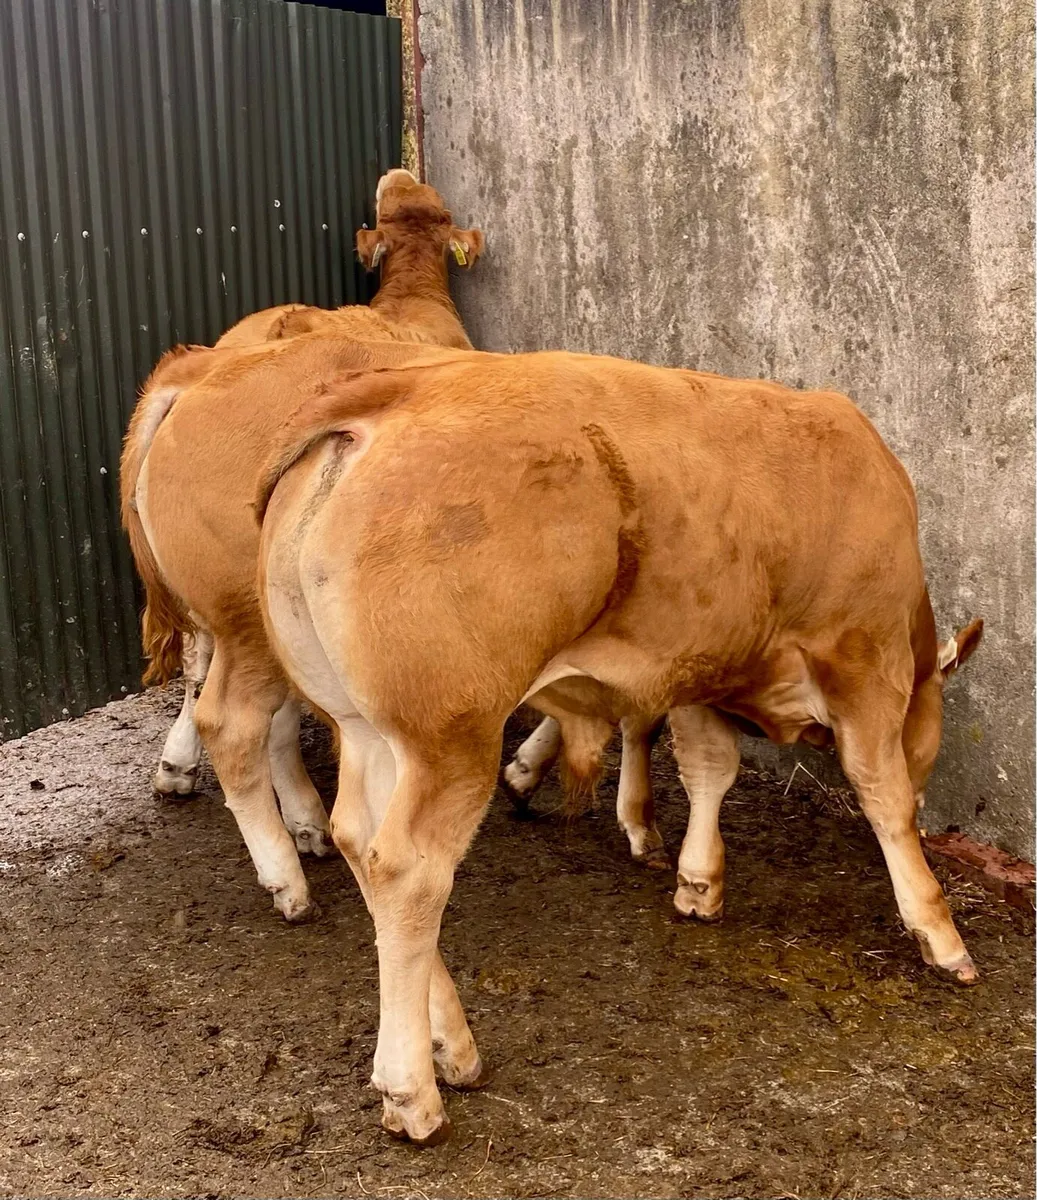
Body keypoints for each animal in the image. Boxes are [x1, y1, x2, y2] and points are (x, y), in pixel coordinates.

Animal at [120, 169, 484, 920]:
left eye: (422, 204)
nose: (398, 173)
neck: (413, 299)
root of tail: (196, 371)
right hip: (250, 605)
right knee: (233, 719)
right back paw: (286, 871)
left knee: (210, 674)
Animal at [256, 349, 984, 1144]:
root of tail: (398, 387)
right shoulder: (866, 663)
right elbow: (883, 798)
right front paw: (938, 931)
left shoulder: (701, 666)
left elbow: (709, 769)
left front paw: (698, 881)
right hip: (451, 735)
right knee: (409, 872)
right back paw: (412, 1088)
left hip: (371, 729)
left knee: (361, 842)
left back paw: (453, 1045)